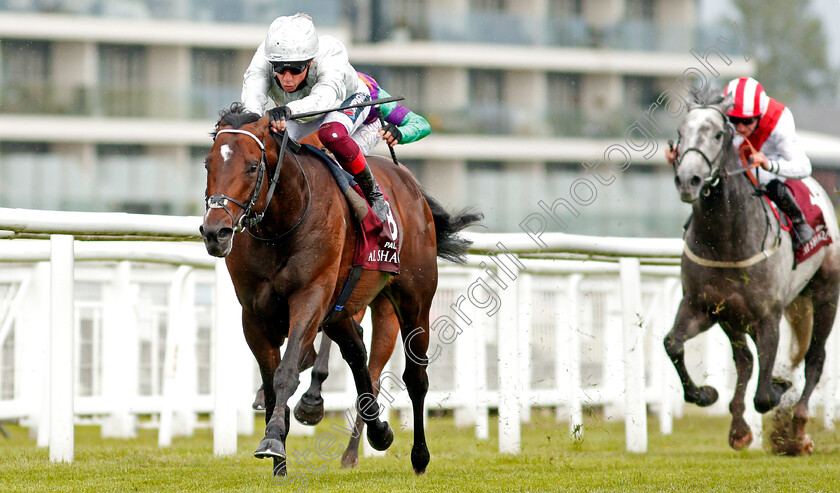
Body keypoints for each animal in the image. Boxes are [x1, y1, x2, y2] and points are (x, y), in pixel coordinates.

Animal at [199, 102, 482, 474]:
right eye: (208, 164)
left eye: (251, 166)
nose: (215, 232)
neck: (282, 224)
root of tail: (410, 183)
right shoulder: (255, 315)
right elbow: (272, 379)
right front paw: (279, 460)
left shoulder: (310, 297)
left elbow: (287, 372)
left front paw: (273, 439)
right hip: (341, 308)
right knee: (359, 355)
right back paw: (377, 431)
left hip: (413, 300)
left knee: (415, 377)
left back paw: (419, 456)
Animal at [664, 89, 840, 454]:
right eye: (681, 132)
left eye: (718, 134)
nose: (688, 180)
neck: (726, 240)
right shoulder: (703, 306)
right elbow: (673, 343)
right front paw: (705, 394)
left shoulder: (768, 316)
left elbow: (764, 395)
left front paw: (778, 386)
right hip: (733, 318)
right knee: (744, 361)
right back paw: (739, 428)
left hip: (826, 292)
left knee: (815, 357)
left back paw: (799, 430)